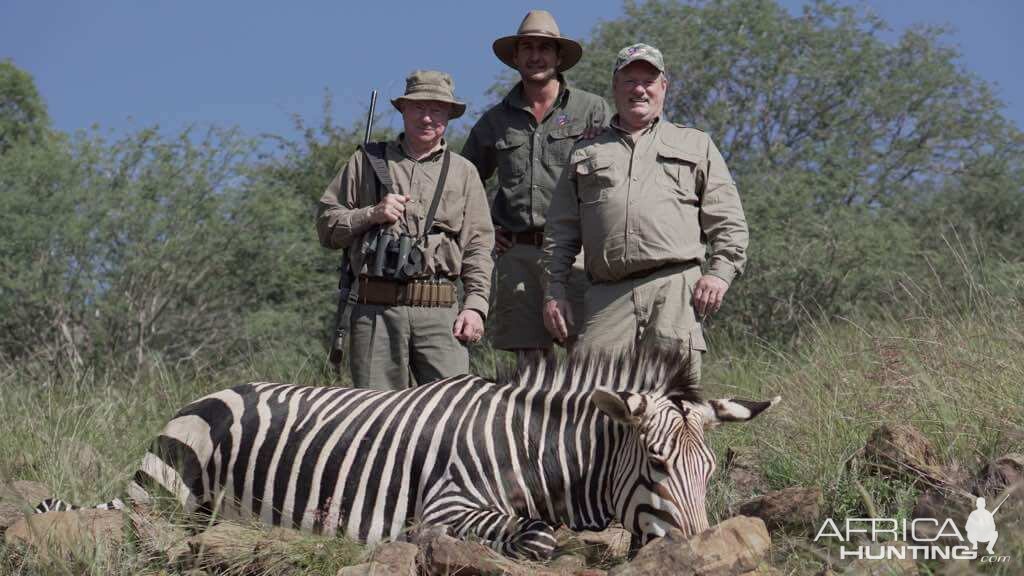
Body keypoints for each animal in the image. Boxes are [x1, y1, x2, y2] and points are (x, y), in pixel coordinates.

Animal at [48, 348, 778, 557]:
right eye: (656, 464)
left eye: (708, 472)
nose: (703, 550)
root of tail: (213, 390)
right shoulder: (448, 503)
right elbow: (538, 537)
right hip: (176, 488)